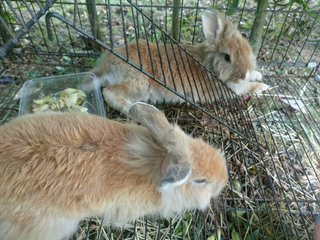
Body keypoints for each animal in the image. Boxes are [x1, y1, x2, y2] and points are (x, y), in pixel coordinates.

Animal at [92, 11, 270, 115]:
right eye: (227, 57)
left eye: (247, 47)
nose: (244, 74)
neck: (210, 65)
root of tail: (104, 67)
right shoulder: (233, 89)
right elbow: (248, 87)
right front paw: (264, 87)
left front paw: (258, 75)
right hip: (139, 84)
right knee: (108, 93)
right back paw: (132, 108)